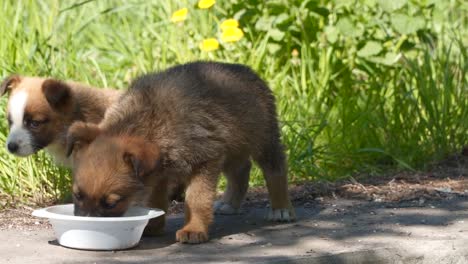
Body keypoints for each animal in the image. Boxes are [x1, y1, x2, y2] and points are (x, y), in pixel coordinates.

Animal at [66, 62, 296, 243]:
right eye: (77, 195)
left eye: (112, 203)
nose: (86, 225)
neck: (150, 125)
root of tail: (246, 70)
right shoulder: (159, 174)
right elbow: (156, 202)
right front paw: (153, 226)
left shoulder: (205, 161)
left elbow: (196, 200)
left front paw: (193, 229)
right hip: (233, 144)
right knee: (241, 169)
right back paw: (230, 203)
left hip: (264, 138)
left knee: (275, 168)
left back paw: (281, 208)